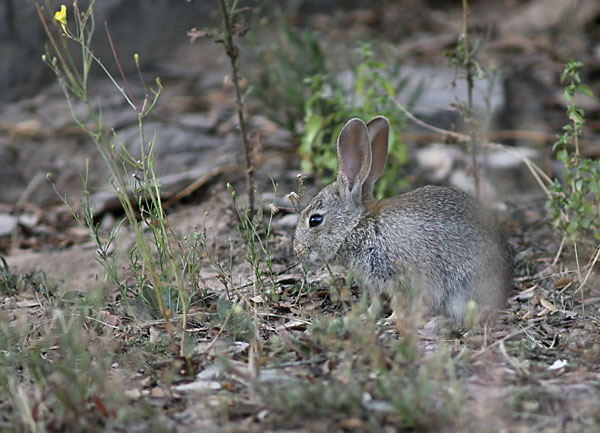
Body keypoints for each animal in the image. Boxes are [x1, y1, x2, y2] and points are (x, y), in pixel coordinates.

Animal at [292, 116, 512, 322]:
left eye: (315, 220)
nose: (297, 250)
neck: (358, 227)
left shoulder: (397, 276)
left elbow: (398, 302)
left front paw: (391, 320)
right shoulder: (374, 283)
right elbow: (376, 302)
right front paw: (367, 316)